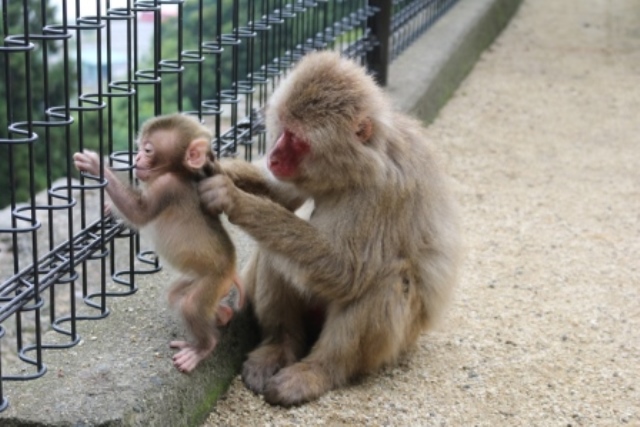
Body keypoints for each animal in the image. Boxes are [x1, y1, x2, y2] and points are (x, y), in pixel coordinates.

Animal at [74, 113, 244, 374]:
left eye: (147, 150)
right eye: (139, 148)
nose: (137, 158)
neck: (181, 173)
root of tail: (232, 270)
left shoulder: (168, 186)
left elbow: (139, 213)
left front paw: (97, 166)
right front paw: (108, 207)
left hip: (214, 280)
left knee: (191, 306)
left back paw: (202, 348)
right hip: (202, 280)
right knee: (176, 297)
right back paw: (223, 314)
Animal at [200, 51, 460, 408]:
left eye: (296, 139)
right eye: (283, 128)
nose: (273, 155)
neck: (359, 166)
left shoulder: (384, 191)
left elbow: (347, 271)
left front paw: (235, 200)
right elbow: (283, 195)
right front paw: (212, 165)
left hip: (396, 341)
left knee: (385, 278)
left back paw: (320, 371)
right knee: (275, 252)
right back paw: (279, 344)